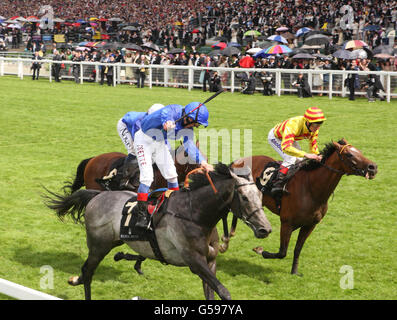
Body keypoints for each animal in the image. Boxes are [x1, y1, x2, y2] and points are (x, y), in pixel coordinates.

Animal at [44, 162, 272, 300]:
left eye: (260, 196)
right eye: (244, 197)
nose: (265, 229)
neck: (196, 215)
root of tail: (96, 196)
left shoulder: (210, 261)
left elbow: (213, 293)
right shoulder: (194, 261)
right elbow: (224, 292)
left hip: (116, 240)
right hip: (99, 245)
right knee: (87, 271)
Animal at [220, 139, 378, 276]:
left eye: (359, 151)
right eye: (349, 154)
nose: (373, 167)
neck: (311, 189)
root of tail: (239, 161)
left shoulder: (310, 225)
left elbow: (297, 249)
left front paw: (294, 272)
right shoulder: (286, 223)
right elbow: (282, 252)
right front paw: (259, 250)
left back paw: (231, 234)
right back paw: (225, 240)